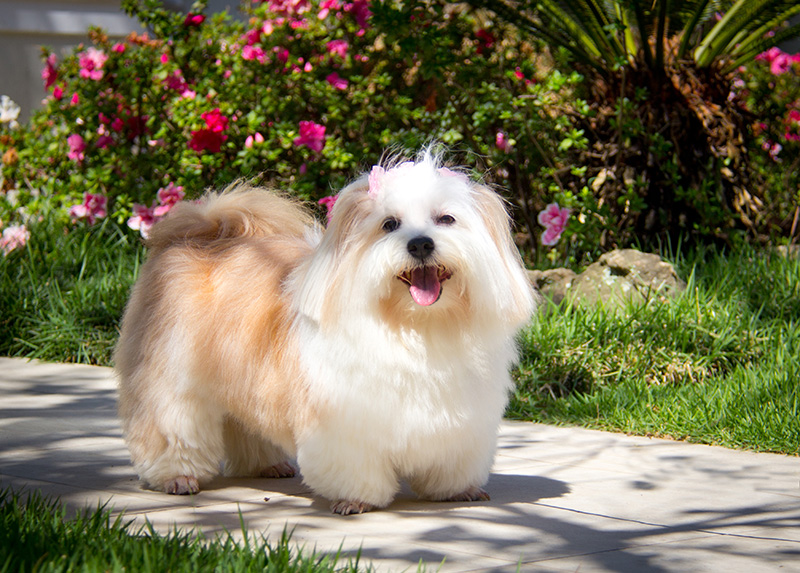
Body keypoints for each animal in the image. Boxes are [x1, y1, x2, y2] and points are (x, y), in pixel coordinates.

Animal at [114, 149, 536, 512]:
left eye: (446, 219)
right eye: (389, 224)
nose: (420, 244)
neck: (416, 324)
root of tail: (204, 230)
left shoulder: (462, 421)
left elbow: (452, 459)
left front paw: (455, 490)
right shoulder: (345, 420)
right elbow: (354, 465)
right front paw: (356, 500)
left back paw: (265, 465)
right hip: (170, 378)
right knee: (169, 424)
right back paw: (177, 477)